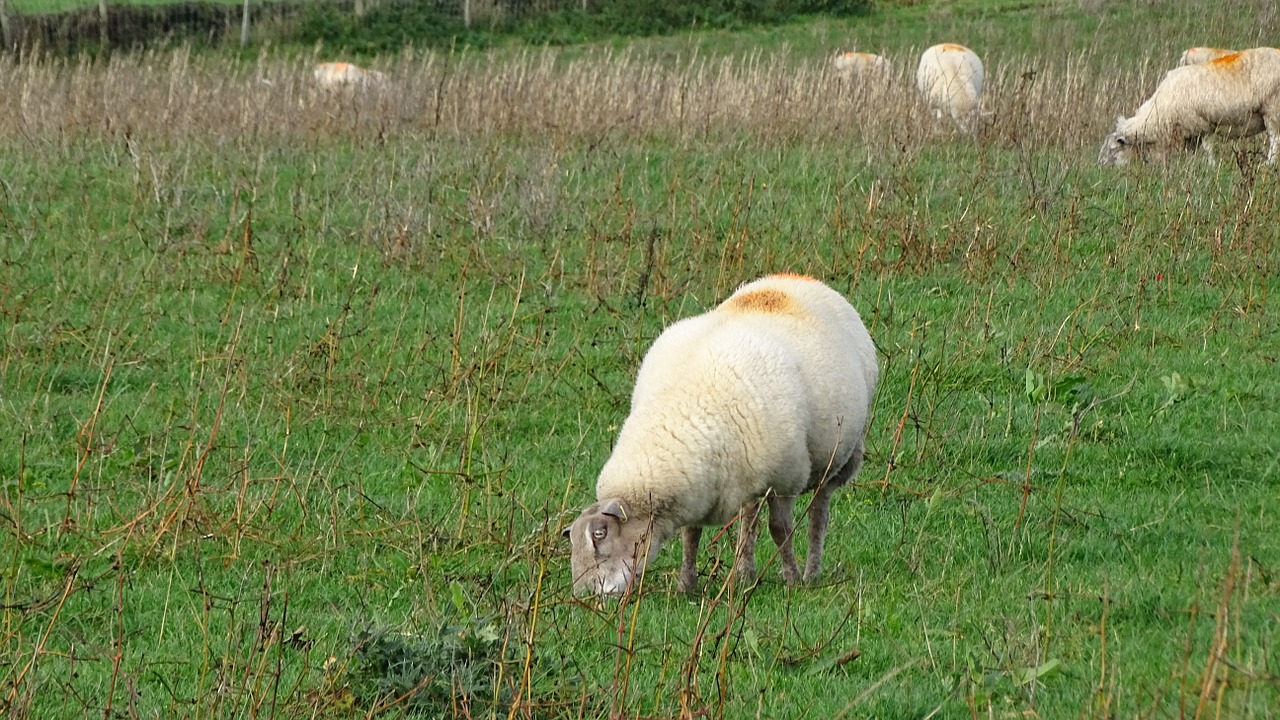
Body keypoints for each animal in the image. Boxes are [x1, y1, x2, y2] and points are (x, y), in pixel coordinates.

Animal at [568, 271, 880, 591]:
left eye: (600, 534)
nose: (583, 593)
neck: (681, 407)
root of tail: (798, 278)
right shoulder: (698, 486)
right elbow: (690, 535)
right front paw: (686, 584)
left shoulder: (786, 477)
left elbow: (780, 529)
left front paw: (791, 578)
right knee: (749, 515)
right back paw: (745, 572)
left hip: (840, 455)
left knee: (819, 512)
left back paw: (811, 572)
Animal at [1095, 47, 1280, 165]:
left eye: (1113, 150)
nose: (1100, 168)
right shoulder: (1189, 134)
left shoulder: (1200, 125)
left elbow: (1207, 149)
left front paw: (1210, 166)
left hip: (1272, 109)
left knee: (1275, 140)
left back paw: (1269, 164)